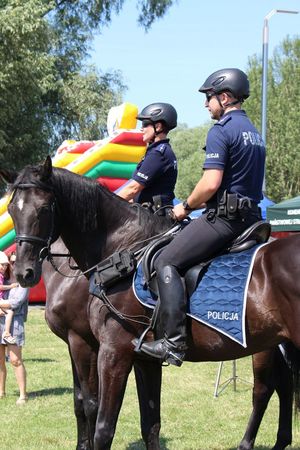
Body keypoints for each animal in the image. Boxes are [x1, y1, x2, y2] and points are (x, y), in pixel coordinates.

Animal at [1, 156, 298, 450]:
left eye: (43, 208)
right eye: (12, 210)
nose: (24, 272)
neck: (124, 253)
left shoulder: (105, 349)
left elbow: (100, 422)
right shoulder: (142, 358)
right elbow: (148, 424)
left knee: (263, 389)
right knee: (283, 385)